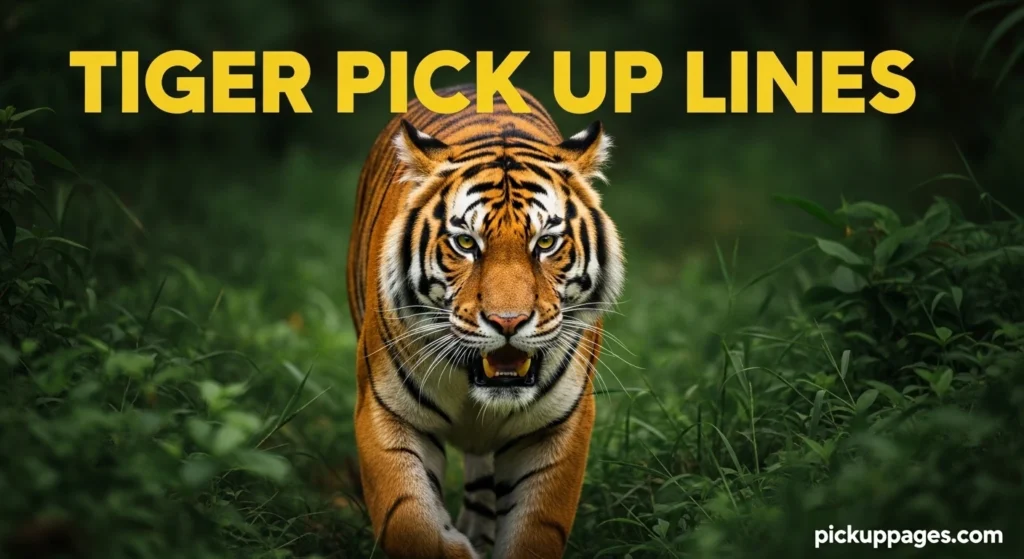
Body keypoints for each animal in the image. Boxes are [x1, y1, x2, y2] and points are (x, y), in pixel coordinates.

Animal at [345, 83, 625, 559]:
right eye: (464, 243)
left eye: (545, 243)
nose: (507, 321)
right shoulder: (385, 412)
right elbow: (407, 522)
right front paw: (454, 545)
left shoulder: (557, 427)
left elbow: (534, 532)